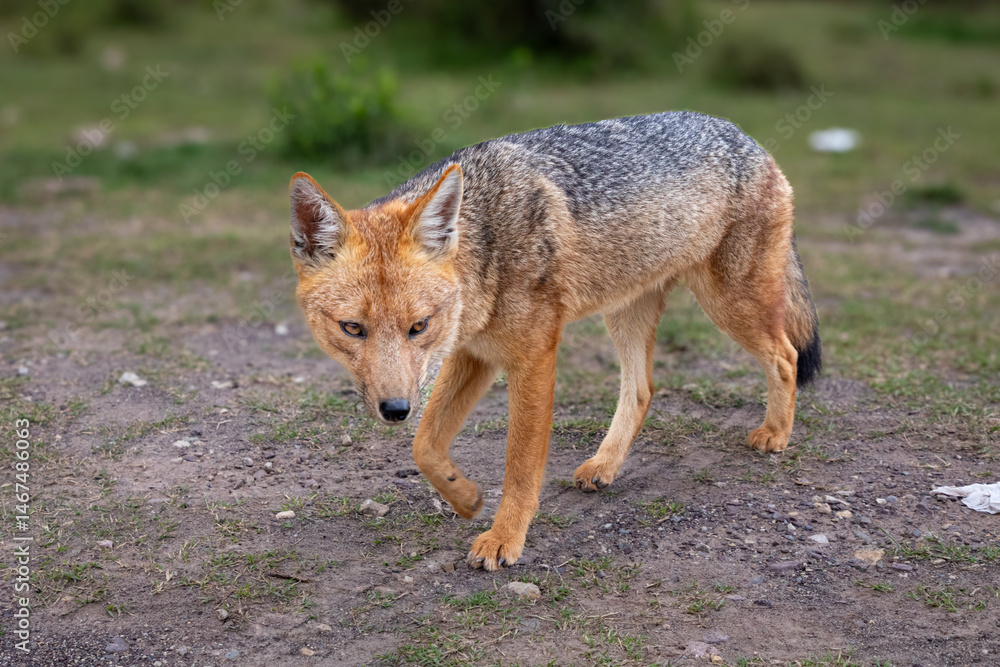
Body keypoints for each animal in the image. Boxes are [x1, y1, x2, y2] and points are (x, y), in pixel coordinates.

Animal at [288, 111, 821, 571]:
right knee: (643, 388)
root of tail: (745, 136)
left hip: (728, 304)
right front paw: (466, 498)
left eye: (419, 326)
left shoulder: (533, 356)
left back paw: (775, 434)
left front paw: (504, 538)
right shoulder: (474, 355)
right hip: (627, 314)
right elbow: (425, 446)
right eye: (352, 328)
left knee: (786, 355)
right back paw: (605, 464)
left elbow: (521, 465)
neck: (485, 245)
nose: (395, 410)